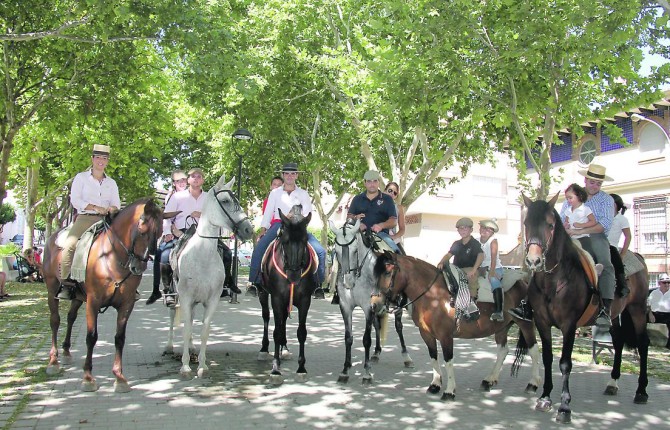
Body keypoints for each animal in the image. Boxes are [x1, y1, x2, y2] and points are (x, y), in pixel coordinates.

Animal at [43, 199, 164, 394]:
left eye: (160, 233)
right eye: (142, 230)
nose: (138, 268)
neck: (112, 258)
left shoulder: (127, 304)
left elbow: (120, 338)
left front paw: (119, 378)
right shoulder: (93, 301)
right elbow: (91, 337)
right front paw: (88, 378)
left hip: (78, 296)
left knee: (71, 317)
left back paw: (67, 352)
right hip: (52, 287)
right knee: (55, 321)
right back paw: (53, 362)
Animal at [258, 204, 318, 382]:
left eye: (305, 240)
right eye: (285, 241)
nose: (294, 276)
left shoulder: (305, 300)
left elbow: (301, 332)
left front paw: (301, 368)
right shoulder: (276, 298)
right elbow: (276, 331)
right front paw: (275, 369)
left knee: (283, 319)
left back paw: (284, 349)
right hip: (263, 293)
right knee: (266, 317)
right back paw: (264, 349)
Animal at [376, 255, 544, 400]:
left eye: (388, 272)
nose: (376, 303)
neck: (433, 296)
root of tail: (523, 283)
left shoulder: (445, 336)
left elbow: (448, 360)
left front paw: (449, 391)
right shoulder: (426, 334)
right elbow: (433, 357)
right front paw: (435, 385)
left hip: (525, 324)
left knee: (534, 350)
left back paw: (533, 384)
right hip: (501, 328)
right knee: (503, 351)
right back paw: (489, 380)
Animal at [524, 194, 652, 424]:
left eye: (550, 225)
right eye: (526, 224)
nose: (533, 260)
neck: (553, 280)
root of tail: (638, 257)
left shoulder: (569, 325)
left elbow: (565, 363)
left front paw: (564, 407)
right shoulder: (542, 322)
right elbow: (548, 358)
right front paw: (545, 397)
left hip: (637, 309)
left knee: (643, 344)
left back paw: (641, 392)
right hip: (614, 315)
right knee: (618, 341)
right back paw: (612, 383)